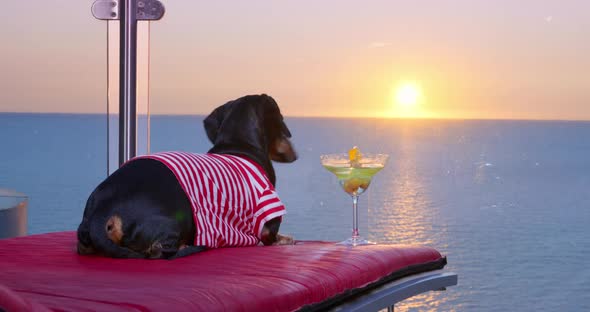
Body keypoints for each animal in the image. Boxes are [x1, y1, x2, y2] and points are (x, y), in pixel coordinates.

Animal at [78, 94, 298, 258]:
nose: (295, 155)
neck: (240, 144)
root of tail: (103, 207)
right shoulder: (268, 220)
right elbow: (272, 237)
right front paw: (286, 239)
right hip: (178, 216)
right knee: (158, 251)